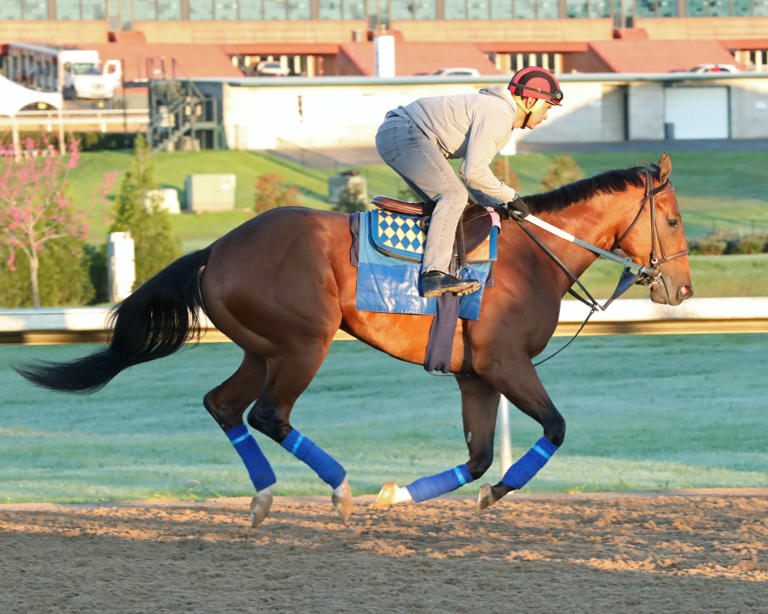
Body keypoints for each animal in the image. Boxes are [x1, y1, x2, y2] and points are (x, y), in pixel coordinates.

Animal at [15, 153, 692, 524]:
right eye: (673, 218)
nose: (681, 289)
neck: (534, 255)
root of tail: (216, 248)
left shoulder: (476, 375)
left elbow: (476, 457)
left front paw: (395, 497)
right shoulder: (506, 364)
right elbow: (553, 429)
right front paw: (496, 493)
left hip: (262, 348)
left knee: (224, 405)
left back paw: (265, 498)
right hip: (303, 343)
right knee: (269, 414)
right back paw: (338, 491)